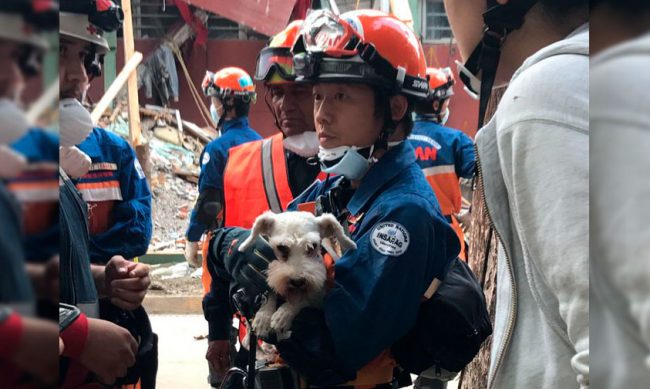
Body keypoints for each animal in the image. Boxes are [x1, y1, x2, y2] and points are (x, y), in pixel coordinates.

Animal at [205, 9, 458, 388]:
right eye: (280, 249)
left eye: (313, 248)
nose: (297, 279)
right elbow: (266, 289)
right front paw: (263, 310)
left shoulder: (321, 296)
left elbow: (310, 312)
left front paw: (282, 315)